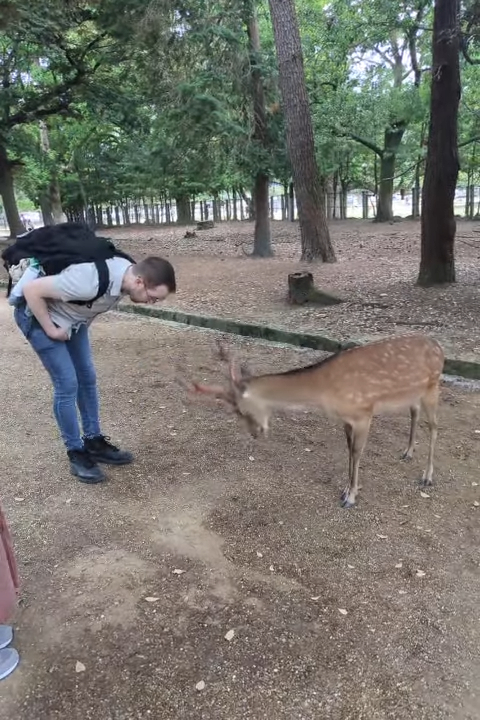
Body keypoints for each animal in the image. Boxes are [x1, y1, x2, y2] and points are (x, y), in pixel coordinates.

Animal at [184, 333, 445, 509]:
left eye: (241, 410)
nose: (255, 432)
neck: (326, 391)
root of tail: (439, 347)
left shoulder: (364, 413)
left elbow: (357, 453)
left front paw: (351, 497)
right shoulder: (346, 419)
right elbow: (349, 451)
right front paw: (346, 489)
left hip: (432, 387)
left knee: (434, 427)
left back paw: (427, 477)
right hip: (414, 393)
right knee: (414, 412)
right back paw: (407, 452)